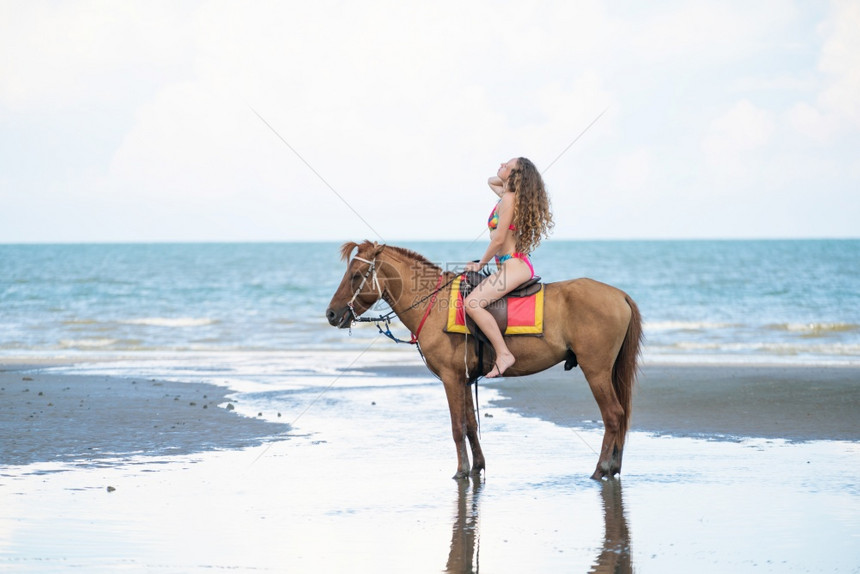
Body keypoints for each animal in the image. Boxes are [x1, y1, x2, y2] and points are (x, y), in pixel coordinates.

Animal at [326, 242, 640, 482]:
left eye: (356, 275)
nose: (331, 314)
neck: (433, 304)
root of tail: (620, 295)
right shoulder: (464, 379)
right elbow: (470, 425)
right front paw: (477, 467)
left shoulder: (451, 379)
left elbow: (457, 427)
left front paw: (461, 470)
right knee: (620, 416)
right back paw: (614, 467)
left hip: (596, 370)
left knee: (613, 415)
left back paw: (601, 469)